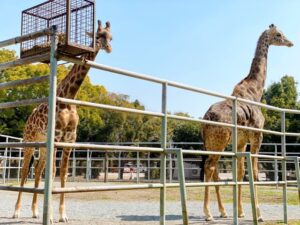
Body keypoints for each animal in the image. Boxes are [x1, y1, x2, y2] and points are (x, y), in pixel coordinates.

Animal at [12, 20, 112, 221]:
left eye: (111, 36)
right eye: (98, 35)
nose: (109, 48)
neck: (69, 97)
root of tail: (28, 118)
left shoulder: (70, 140)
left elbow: (64, 175)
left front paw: (62, 215)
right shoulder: (57, 138)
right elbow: (53, 173)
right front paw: (50, 217)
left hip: (42, 145)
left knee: (37, 171)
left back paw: (35, 212)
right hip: (29, 141)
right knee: (25, 171)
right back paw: (16, 211)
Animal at [200, 23, 292, 221]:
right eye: (279, 35)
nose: (290, 43)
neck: (255, 92)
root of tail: (205, 121)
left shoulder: (241, 141)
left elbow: (240, 172)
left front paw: (241, 212)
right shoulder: (257, 135)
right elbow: (255, 172)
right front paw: (259, 214)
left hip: (212, 143)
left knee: (215, 170)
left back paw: (223, 211)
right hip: (219, 142)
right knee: (209, 167)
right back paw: (208, 214)